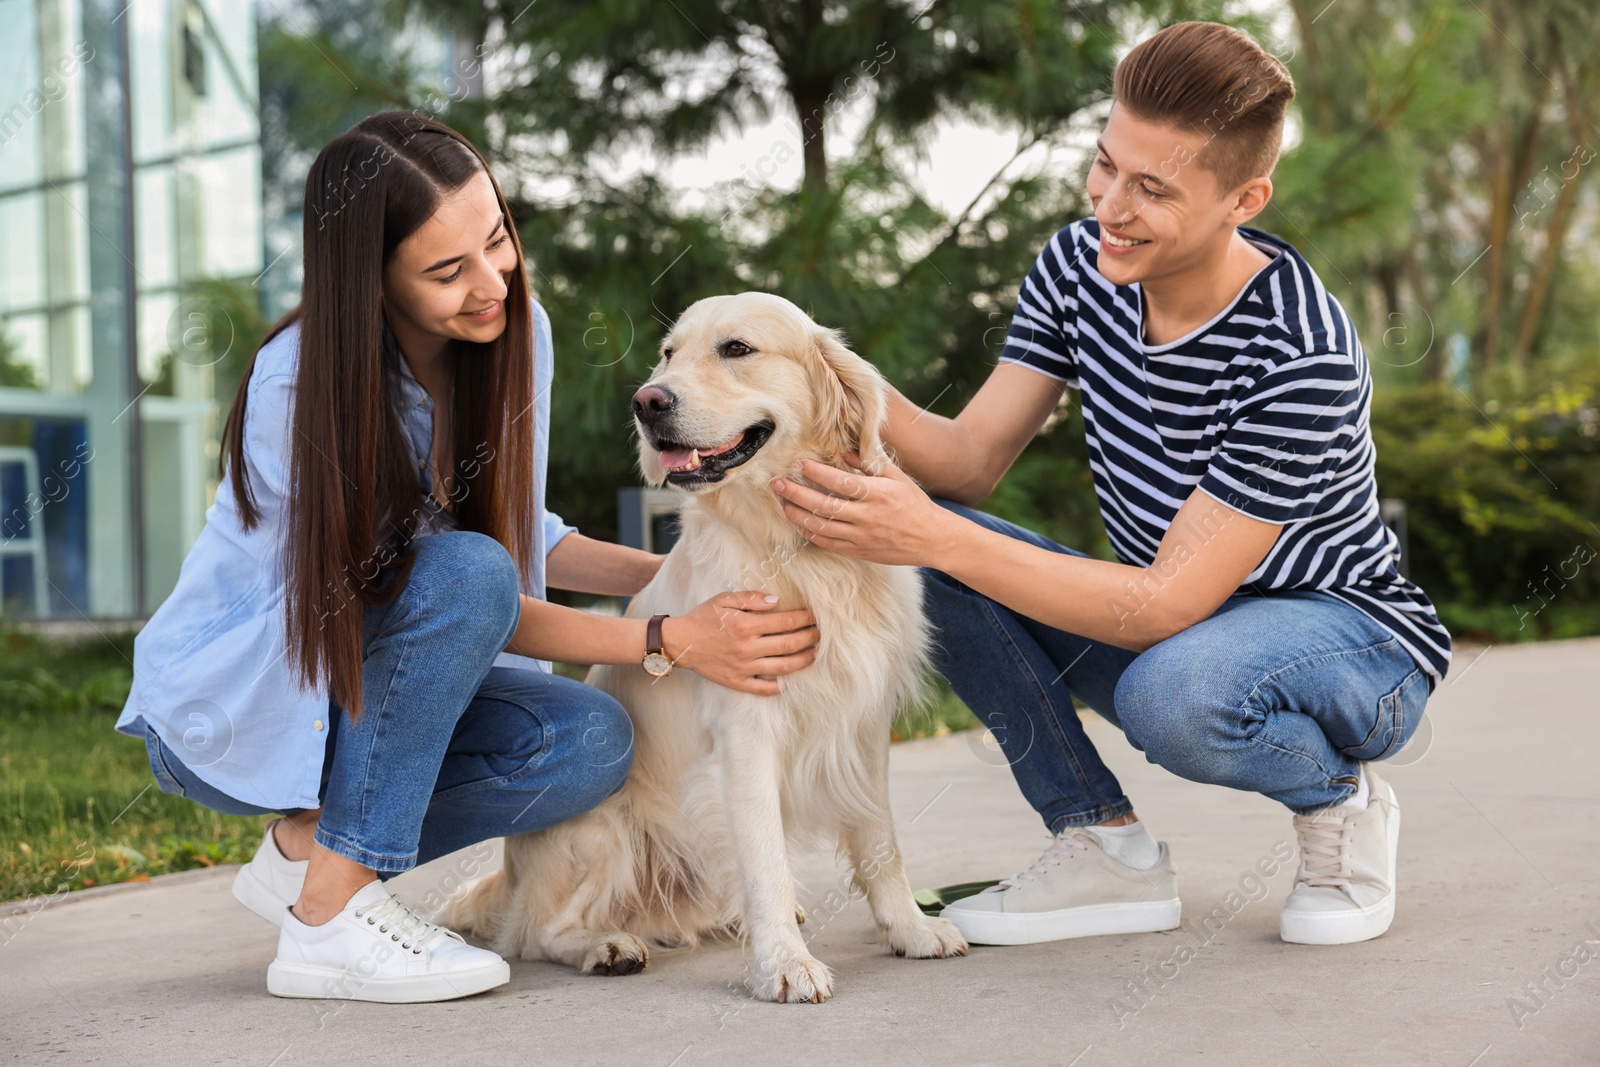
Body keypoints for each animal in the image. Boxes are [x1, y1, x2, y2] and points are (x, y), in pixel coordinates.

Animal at [438, 289, 960, 1004]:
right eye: (668, 354)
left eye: (736, 349)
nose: (646, 402)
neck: (794, 549)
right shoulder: (745, 730)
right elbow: (767, 862)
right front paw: (784, 965)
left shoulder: (864, 724)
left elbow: (881, 842)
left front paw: (909, 929)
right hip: (606, 828)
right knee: (537, 931)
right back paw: (607, 945)